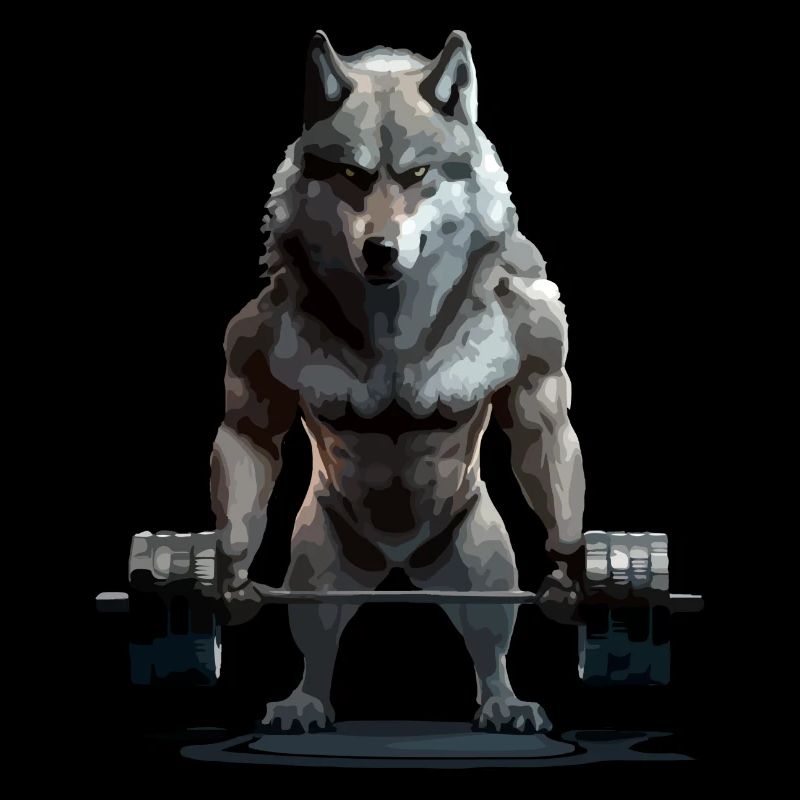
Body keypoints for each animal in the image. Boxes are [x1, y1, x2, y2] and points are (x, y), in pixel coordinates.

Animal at [195, 30, 586, 733]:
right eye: (352, 175)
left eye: (417, 175)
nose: (380, 248)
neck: (394, 322)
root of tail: (398, 562)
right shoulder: (252, 341)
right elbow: (250, 434)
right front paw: (229, 575)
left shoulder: (538, 338)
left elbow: (542, 429)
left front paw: (573, 572)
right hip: (321, 566)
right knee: (317, 634)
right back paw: (305, 702)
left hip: (480, 562)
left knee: (490, 637)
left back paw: (504, 701)